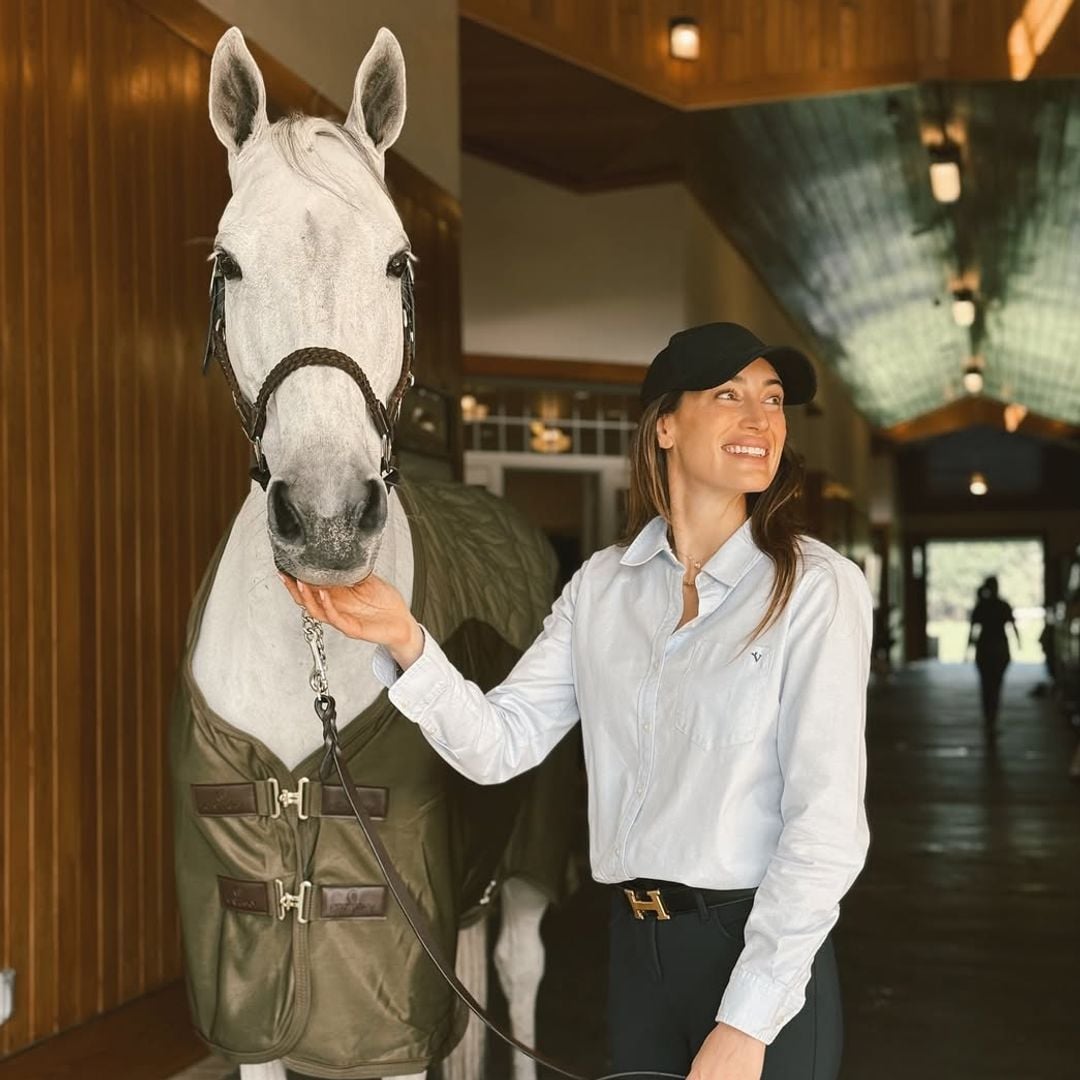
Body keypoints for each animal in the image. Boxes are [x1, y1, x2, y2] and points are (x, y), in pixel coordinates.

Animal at [170, 27, 576, 1080]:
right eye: (227, 262)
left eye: (398, 261)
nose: (325, 518)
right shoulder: (250, 997)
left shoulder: (390, 1006)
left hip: (528, 863)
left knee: (517, 972)